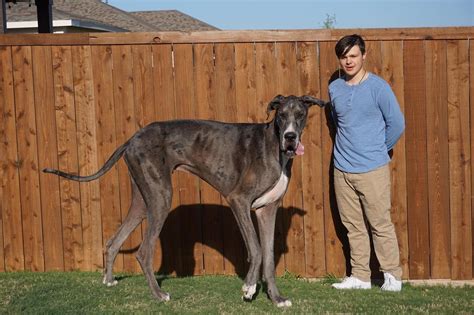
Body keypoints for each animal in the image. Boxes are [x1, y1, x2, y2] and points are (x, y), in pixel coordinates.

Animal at [43, 95, 326, 308]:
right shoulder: (239, 200)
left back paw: (110, 281)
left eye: (300, 114)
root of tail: (132, 138)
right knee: (143, 251)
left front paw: (276, 298)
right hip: (161, 198)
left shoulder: (267, 210)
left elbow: (268, 257)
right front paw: (248, 288)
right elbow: (256, 250)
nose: (290, 137)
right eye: (281, 116)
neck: (274, 146)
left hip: (143, 200)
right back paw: (159, 295)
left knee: (113, 242)